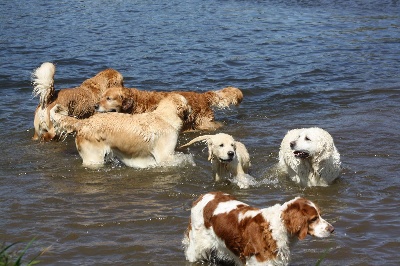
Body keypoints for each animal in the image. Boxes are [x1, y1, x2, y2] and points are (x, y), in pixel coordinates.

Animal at [95, 85, 244, 131]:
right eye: (102, 96)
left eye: (109, 98)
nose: (95, 106)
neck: (135, 103)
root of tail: (203, 95)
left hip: (204, 123)